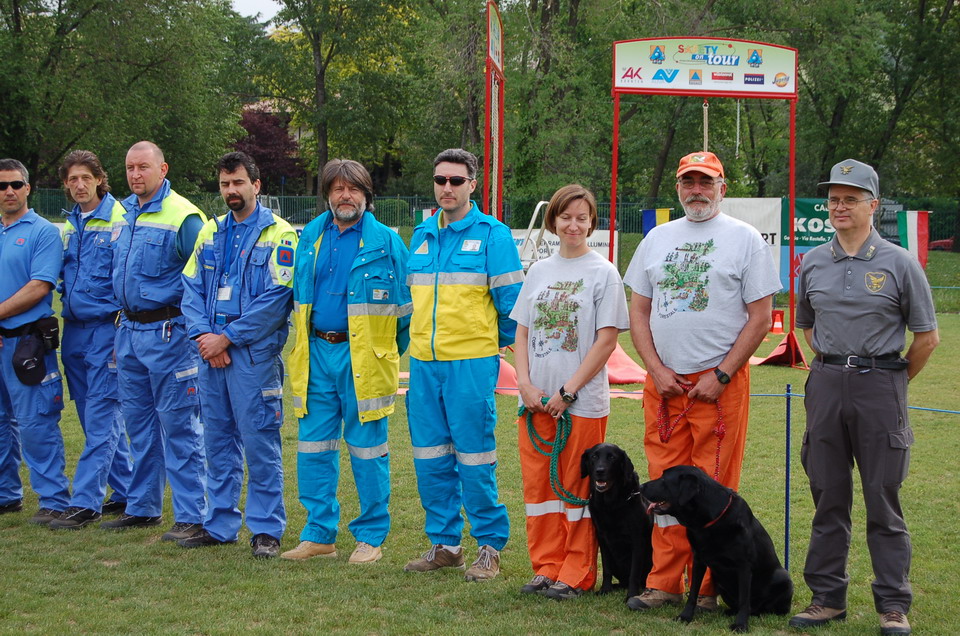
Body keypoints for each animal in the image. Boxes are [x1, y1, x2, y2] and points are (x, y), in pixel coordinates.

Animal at [580, 443, 653, 601]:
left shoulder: (637, 540)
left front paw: (631, 595)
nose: (599, 471)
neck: (611, 504)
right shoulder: (602, 538)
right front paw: (605, 589)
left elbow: (634, 573)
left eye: (612, 457)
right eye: (594, 456)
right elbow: (606, 569)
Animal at [640, 465, 793, 633]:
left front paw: (741, 624)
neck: (710, 521)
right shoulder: (698, 560)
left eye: (664, 480)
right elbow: (693, 593)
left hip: (784, 578)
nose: (640, 487)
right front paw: (685, 616)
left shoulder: (744, 567)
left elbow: (744, 600)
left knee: (764, 608)